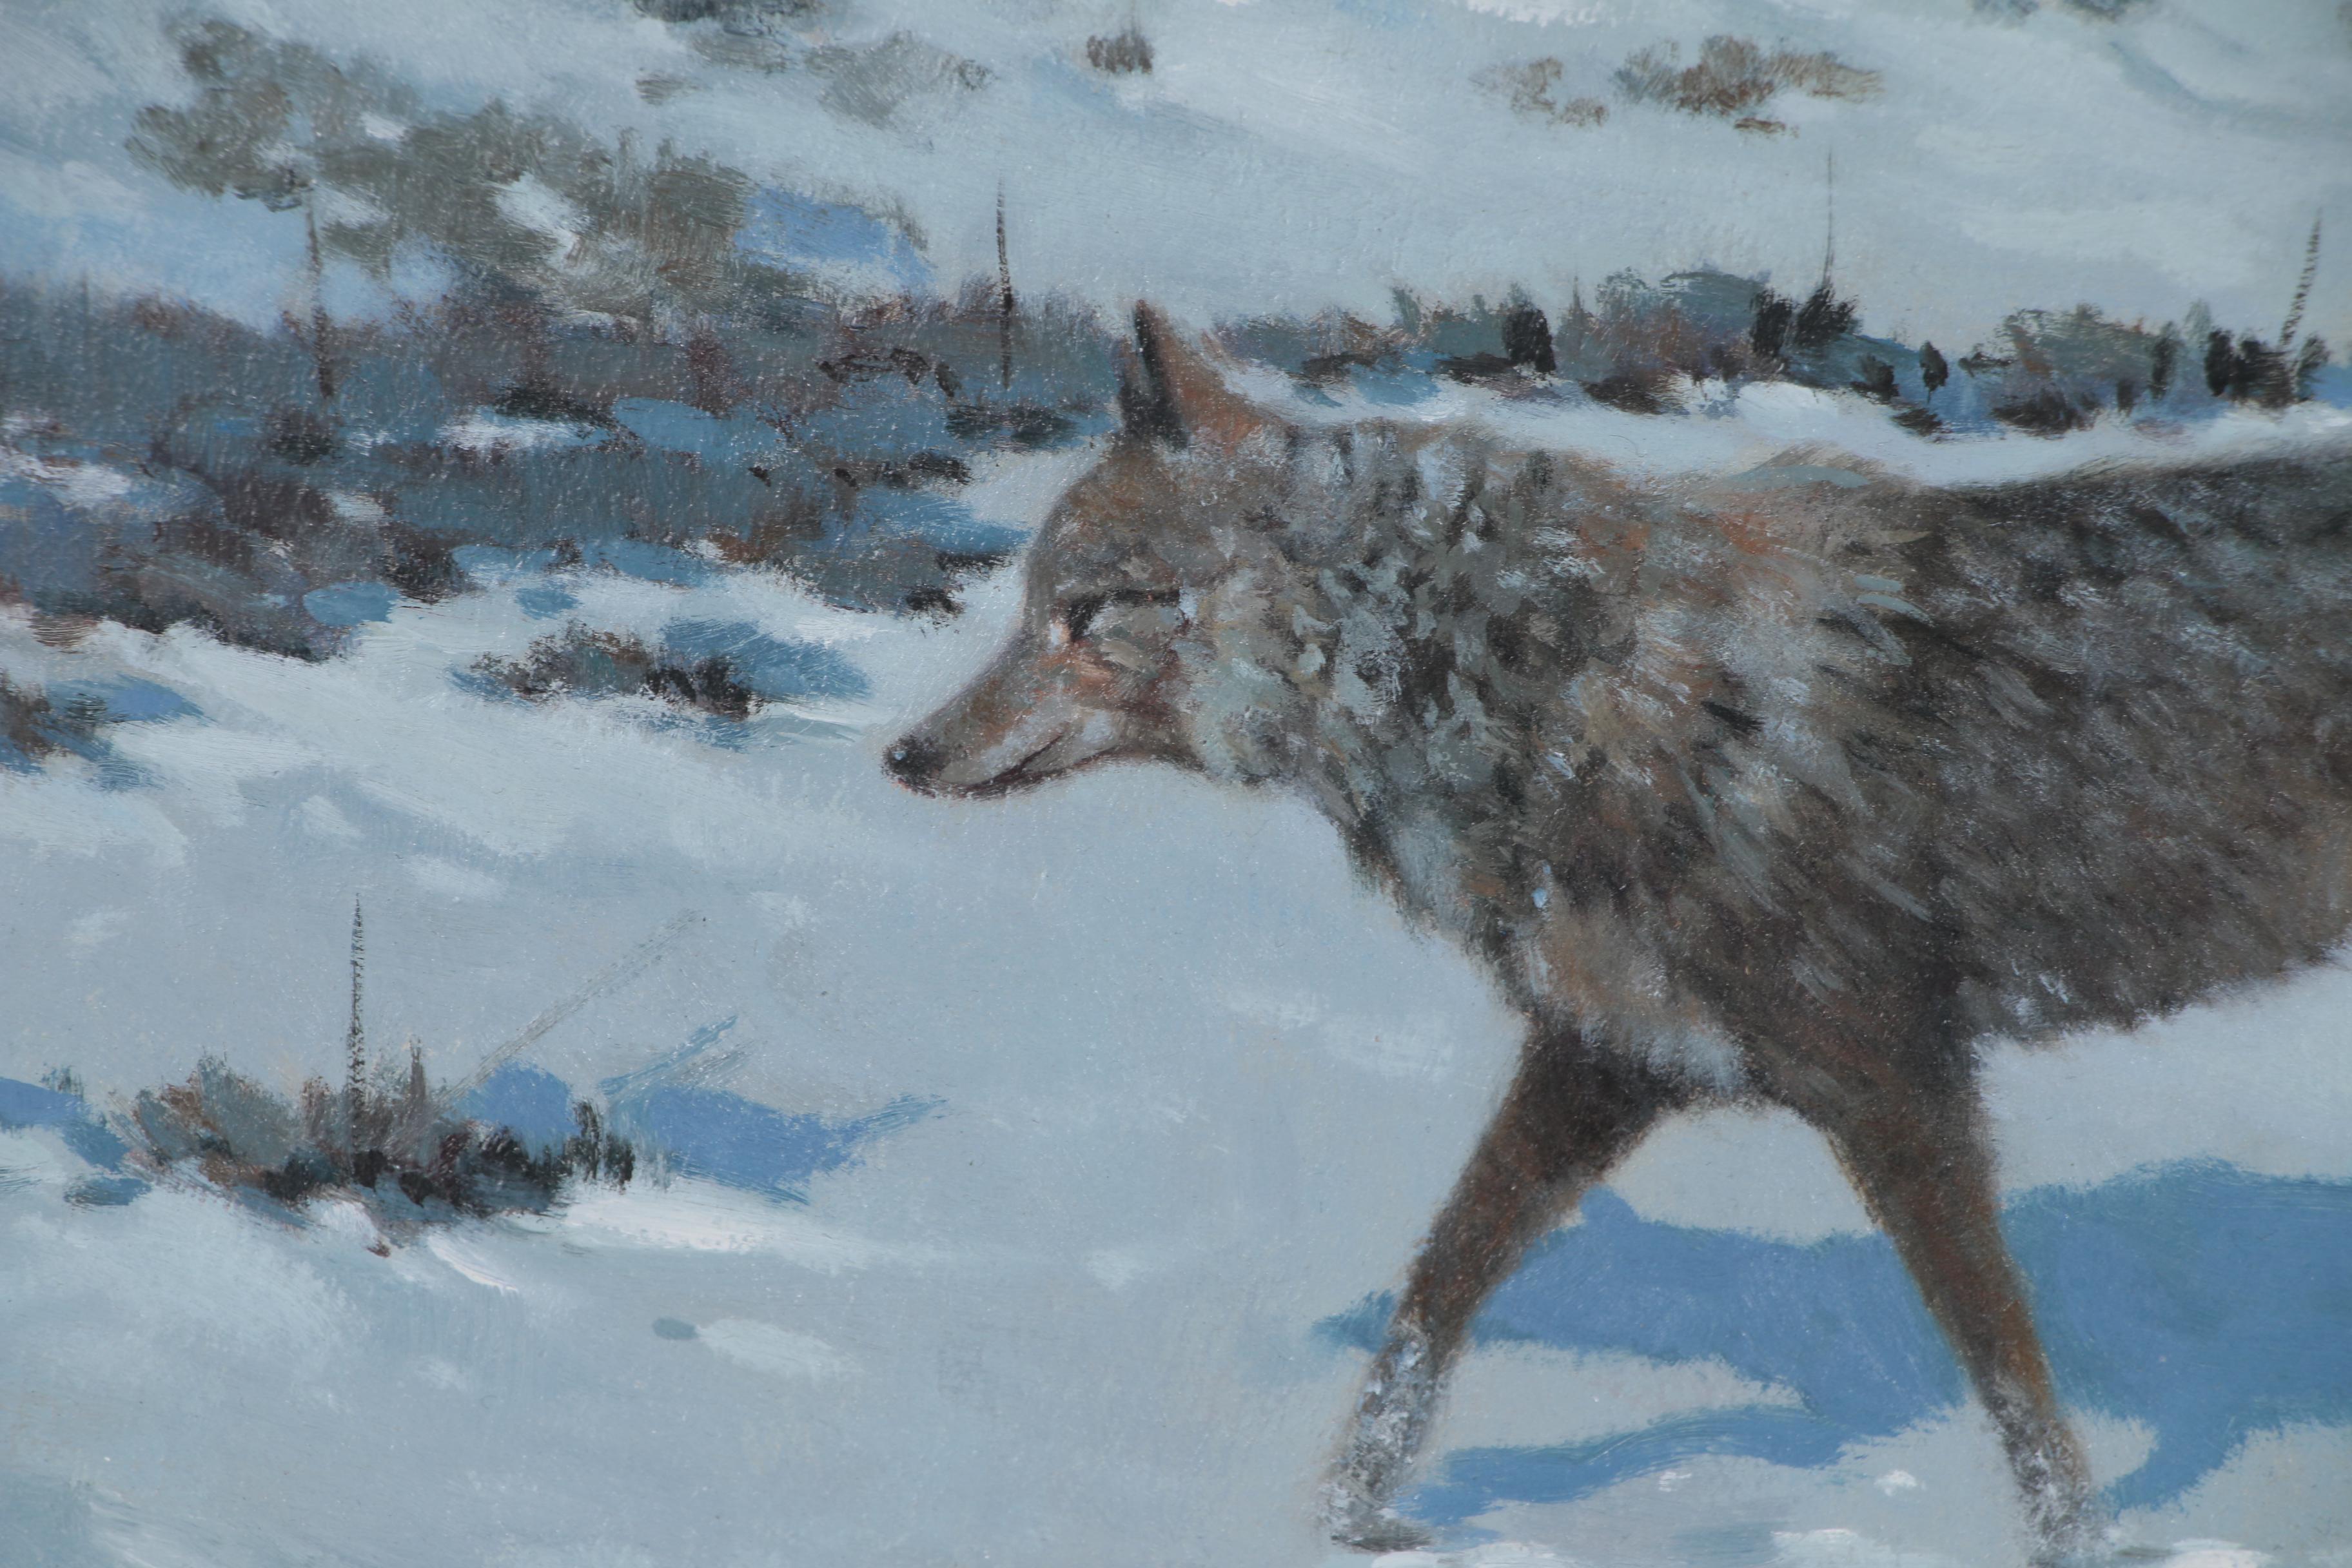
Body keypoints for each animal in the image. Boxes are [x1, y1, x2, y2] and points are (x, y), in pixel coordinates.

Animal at [889, 305, 2352, 1561]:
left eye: (1086, 611)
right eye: (1026, 606)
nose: (905, 753)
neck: (1551, 692)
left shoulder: (1895, 1082)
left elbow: (2013, 1380)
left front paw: (2083, 1546)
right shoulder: (1606, 1056)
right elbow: (1434, 1295)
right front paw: (1346, 1516)